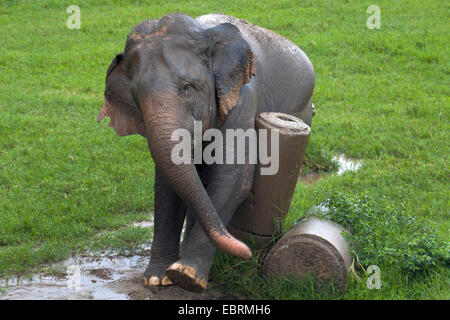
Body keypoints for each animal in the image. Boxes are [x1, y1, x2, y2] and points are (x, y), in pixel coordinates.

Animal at [97, 13, 316, 292]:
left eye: (187, 87)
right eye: (135, 98)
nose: (246, 252)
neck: (204, 31)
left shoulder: (243, 100)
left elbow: (231, 177)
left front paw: (186, 276)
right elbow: (167, 185)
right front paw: (157, 278)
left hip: (302, 113)